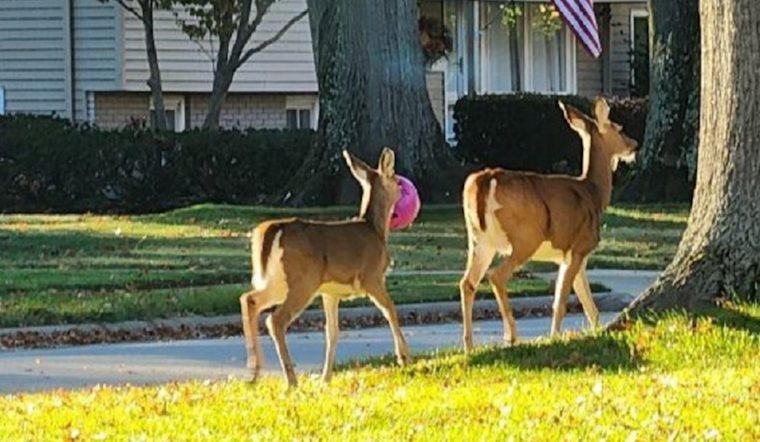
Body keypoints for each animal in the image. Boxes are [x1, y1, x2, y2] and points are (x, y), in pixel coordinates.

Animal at [239, 148, 411, 387]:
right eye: (396, 179)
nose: (403, 189)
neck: (375, 229)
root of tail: (272, 229)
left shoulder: (330, 292)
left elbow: (332, 332)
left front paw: (325, 378)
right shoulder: (372, 277)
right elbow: (390, 310)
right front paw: (404, 357)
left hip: (279, 280)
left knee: (249, 299)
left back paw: (253, 373)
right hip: (303, 280)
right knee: (275, 319)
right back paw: (291, 380)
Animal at [458, 97, 638, 352]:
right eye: (619, 128)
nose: (635, 145)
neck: (594, 192)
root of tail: (484, 180)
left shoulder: (572, 255)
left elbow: (589, 305)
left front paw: (596, 332)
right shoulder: (579, 247)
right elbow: (561, 301)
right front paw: (555, 337)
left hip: (479, 241)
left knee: (467, 283)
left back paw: (469, 345)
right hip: (526, 238)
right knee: (496, 276)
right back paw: (511, 336)